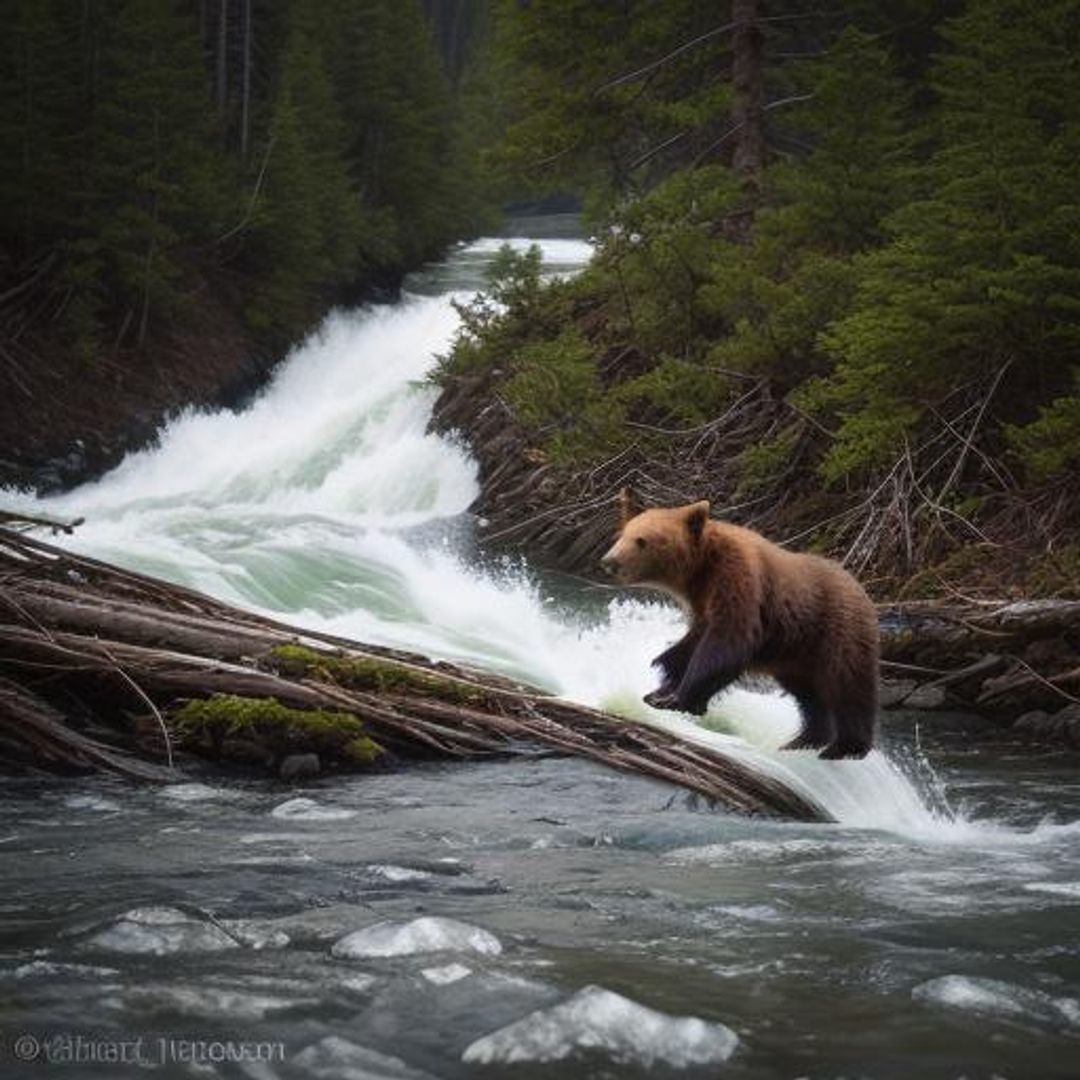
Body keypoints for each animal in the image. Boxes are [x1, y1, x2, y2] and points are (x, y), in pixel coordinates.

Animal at [600, 490, 876, 760]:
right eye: (622, 535)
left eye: (641, 540)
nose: (609, 562)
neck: (701, 570)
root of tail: (861, 588)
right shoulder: (703, 603)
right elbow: (692, 644)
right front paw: (661, 681)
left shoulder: (738, 582)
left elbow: (727, 645)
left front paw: (676, 699)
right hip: (794, 653)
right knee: (808, 695)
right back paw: (803, 740)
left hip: (837, 632)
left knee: (847, 686)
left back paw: (844, 747)